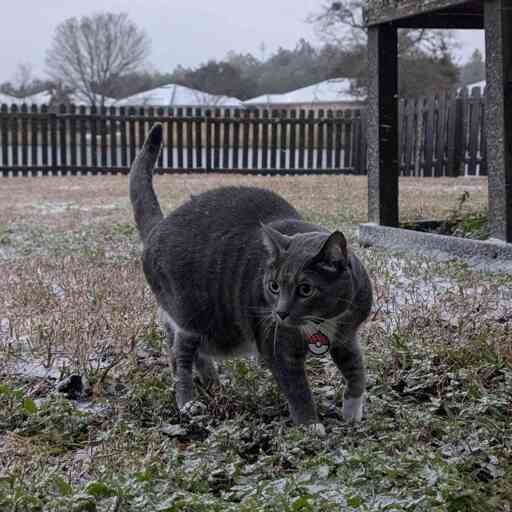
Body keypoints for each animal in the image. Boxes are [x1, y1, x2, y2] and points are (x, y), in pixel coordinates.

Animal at [130, 124, 372, 436]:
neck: (321, 324)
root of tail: (156, 228)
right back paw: (189, 403)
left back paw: (213, 384)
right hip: (192, 314)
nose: (280, 312)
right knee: (179, 356)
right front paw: (311, 425)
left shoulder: (347, 334)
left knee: (190, 349)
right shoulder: (277, 346)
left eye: (306, 289)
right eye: (273, 286)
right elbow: (298, 389)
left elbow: (357, 370)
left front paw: (352, 411)